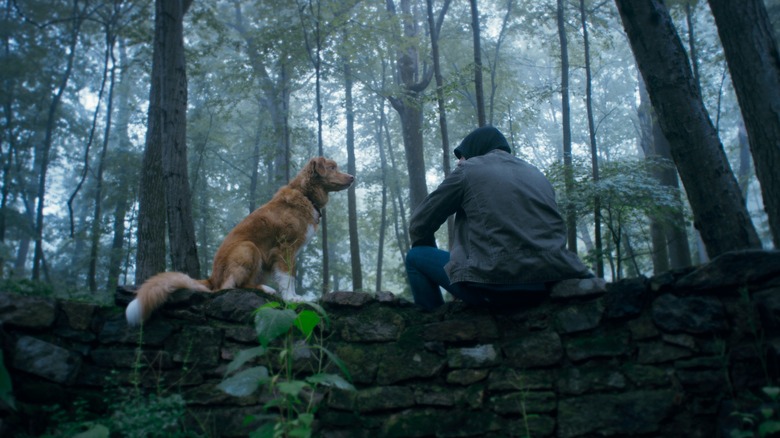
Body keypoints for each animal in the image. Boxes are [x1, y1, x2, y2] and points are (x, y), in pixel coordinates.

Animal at [127, 157, 354, 326]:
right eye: (332, 167)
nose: (352, 177)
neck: (306, 195)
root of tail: (212, 277)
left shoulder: (291, 253)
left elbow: (290, 276)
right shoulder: (285, 248)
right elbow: (287, 278)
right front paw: (292, 298)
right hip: (248, 248)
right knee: (229, 288)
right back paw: (266, 289)